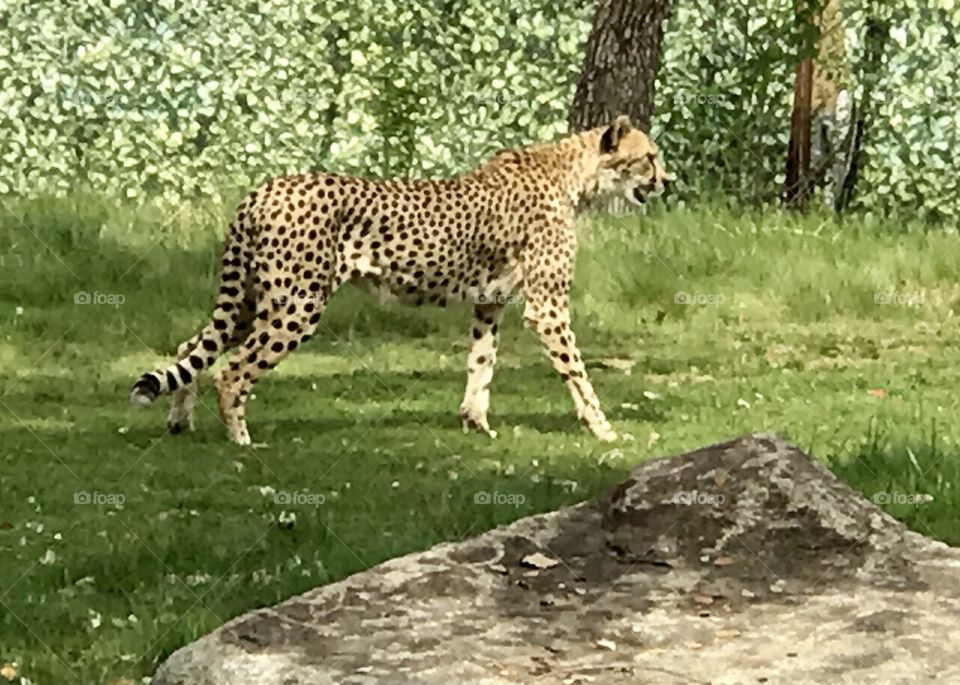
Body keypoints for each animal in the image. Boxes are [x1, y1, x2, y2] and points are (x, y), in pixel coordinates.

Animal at [129, 115, 669, 445]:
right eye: (649, 156)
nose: (667, 181)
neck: (576, 175)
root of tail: (262, 189)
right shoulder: (548, 305)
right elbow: (576, 370)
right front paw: (603, 428)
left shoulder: (489, 302)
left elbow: (481, 364)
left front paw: (477, 424)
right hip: (296, 303)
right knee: (231, 370)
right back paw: (241, 440)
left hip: (250, 298)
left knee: (192, 348)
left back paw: (180, 421)